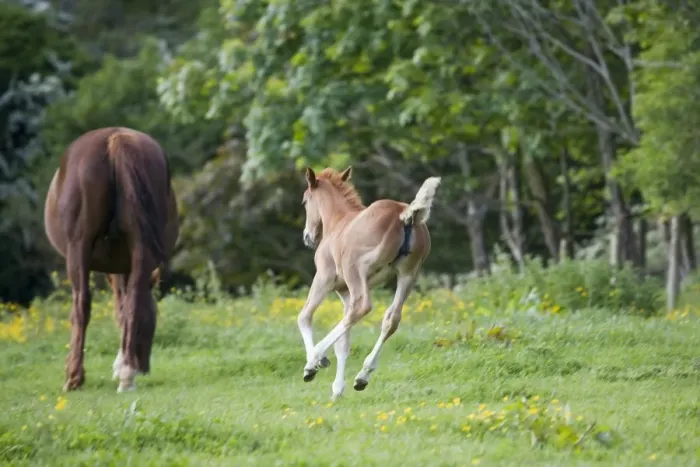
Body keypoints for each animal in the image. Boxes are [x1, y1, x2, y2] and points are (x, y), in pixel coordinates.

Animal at [44, 127, 179, 393]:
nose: (144, 367)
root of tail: (116, 139)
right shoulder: (126, 265)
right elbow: (125, 308)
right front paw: (122, 365)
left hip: (78, 250)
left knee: (81, 305)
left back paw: (75, 376)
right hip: (140, 248)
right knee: (134, 301)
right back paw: (127, 376)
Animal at [297, 166, 441, 400]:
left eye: (304, 201)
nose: (308, 237)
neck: (338, 222)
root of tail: (405, 215)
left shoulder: (324, 278)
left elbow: (304, 316)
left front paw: (314, 364)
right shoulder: (344, 291)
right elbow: (344, 341)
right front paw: (337, 389)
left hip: (357, 269)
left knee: (363, 306)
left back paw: (317, 357)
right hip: (408, 275)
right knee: (391, 318)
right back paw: (362, 376)